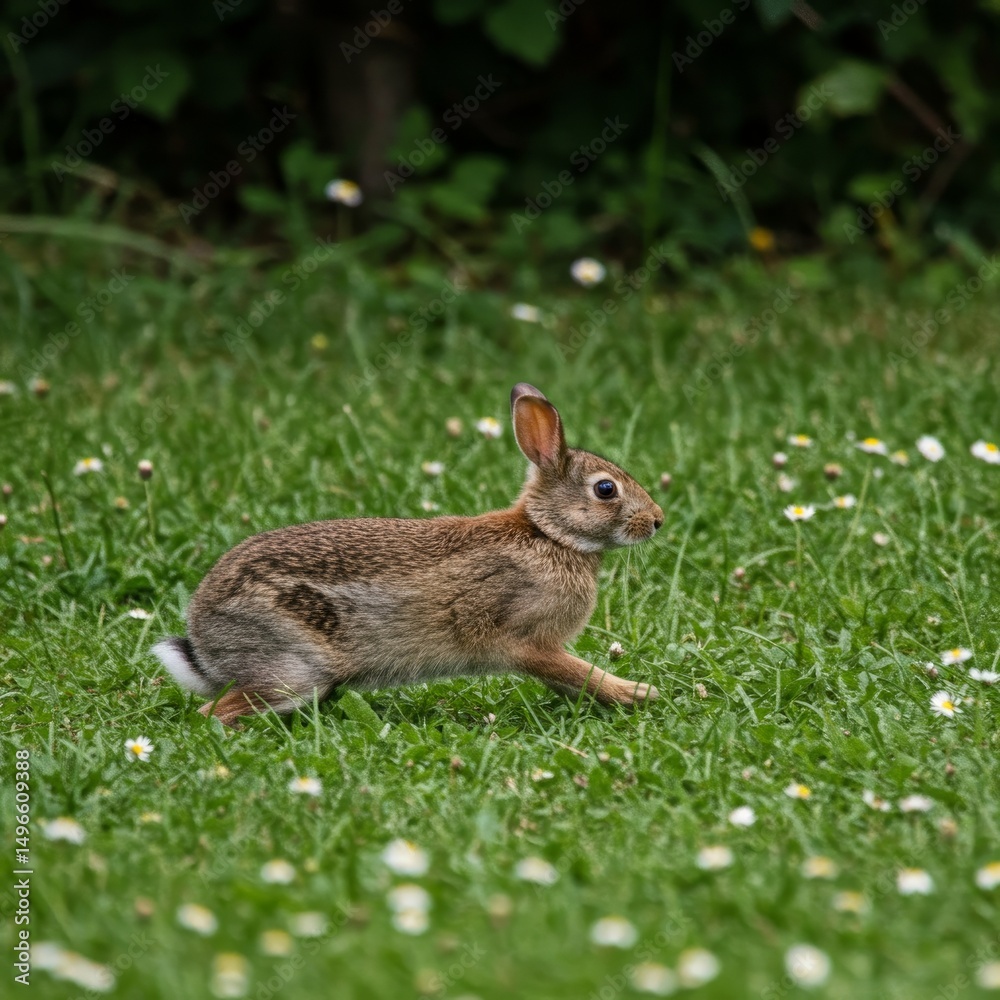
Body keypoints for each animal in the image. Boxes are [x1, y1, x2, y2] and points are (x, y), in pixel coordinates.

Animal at [152, 383, 665, 725]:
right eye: (605, 489)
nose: (657, 520)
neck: (550, 535)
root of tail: (203, 641)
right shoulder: (524, 638)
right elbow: (576, 670)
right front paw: (637, 693)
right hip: (295, 667)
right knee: (215, 711)